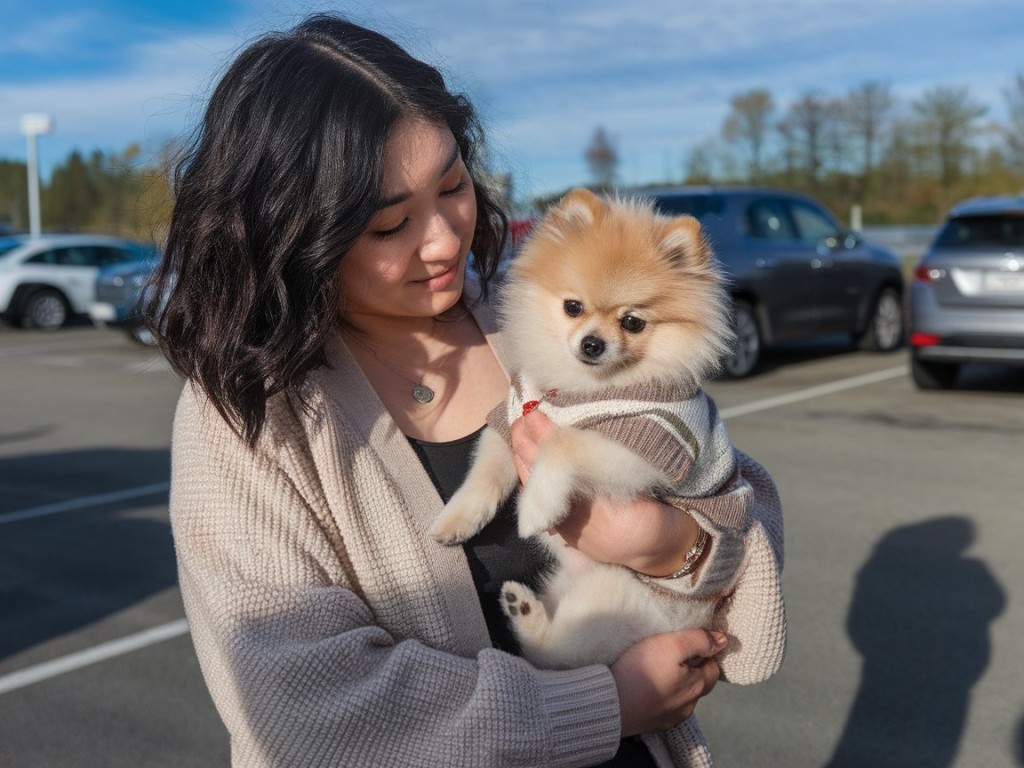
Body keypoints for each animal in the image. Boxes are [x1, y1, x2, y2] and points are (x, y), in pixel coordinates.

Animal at [425, 189, 753, 671]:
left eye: (632, 322)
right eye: (572, 307)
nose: (592, 344)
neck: (583, 389)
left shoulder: (647, 445)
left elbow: (563, 442)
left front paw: (536, 506)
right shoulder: (514, 417)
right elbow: (484, 475)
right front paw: (456, 520)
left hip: (612, 602)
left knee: (559, 653)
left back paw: (525, 612)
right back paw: (522, 606)